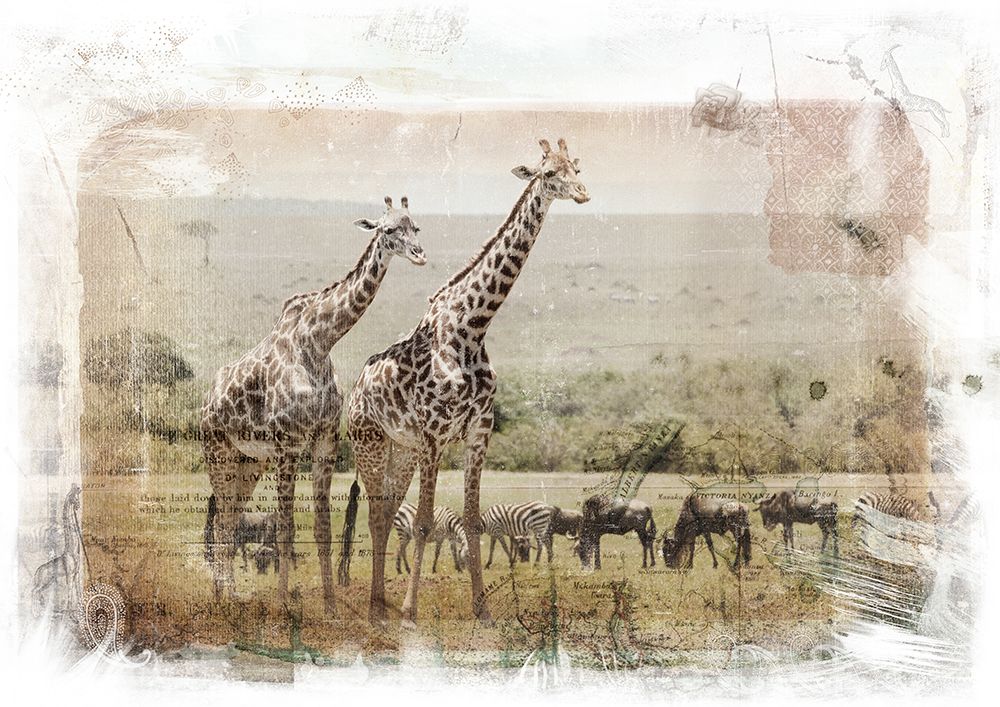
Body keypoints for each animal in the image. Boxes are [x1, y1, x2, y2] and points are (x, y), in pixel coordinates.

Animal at [202, 196, 426, 615]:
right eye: (389, 229)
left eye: (415, 226)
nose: (419, 254)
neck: (319, 342)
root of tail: (207, 401)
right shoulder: (288, 443)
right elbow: (286, 526)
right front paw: (285, 605)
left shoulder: (325, 439)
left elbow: (323, 526)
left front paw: (330, 606)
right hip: (218, 450)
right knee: (222, 519)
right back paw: (222, 598)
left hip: (249, 460)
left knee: (231, 517)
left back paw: (231, 595)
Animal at [344, 138, 589, 624]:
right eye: (549, 173)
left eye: (576, 166)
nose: (583, 193)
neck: (472, 327)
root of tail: (357, 385)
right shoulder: (435, 435)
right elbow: (423, 522)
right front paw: (410, 609)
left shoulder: (478, 432)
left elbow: (473, 520)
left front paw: (482, 608)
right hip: (369, 443)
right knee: (377, 516)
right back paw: (378, 607)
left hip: (401, 450)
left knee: (385, 513)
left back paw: (378, 603)